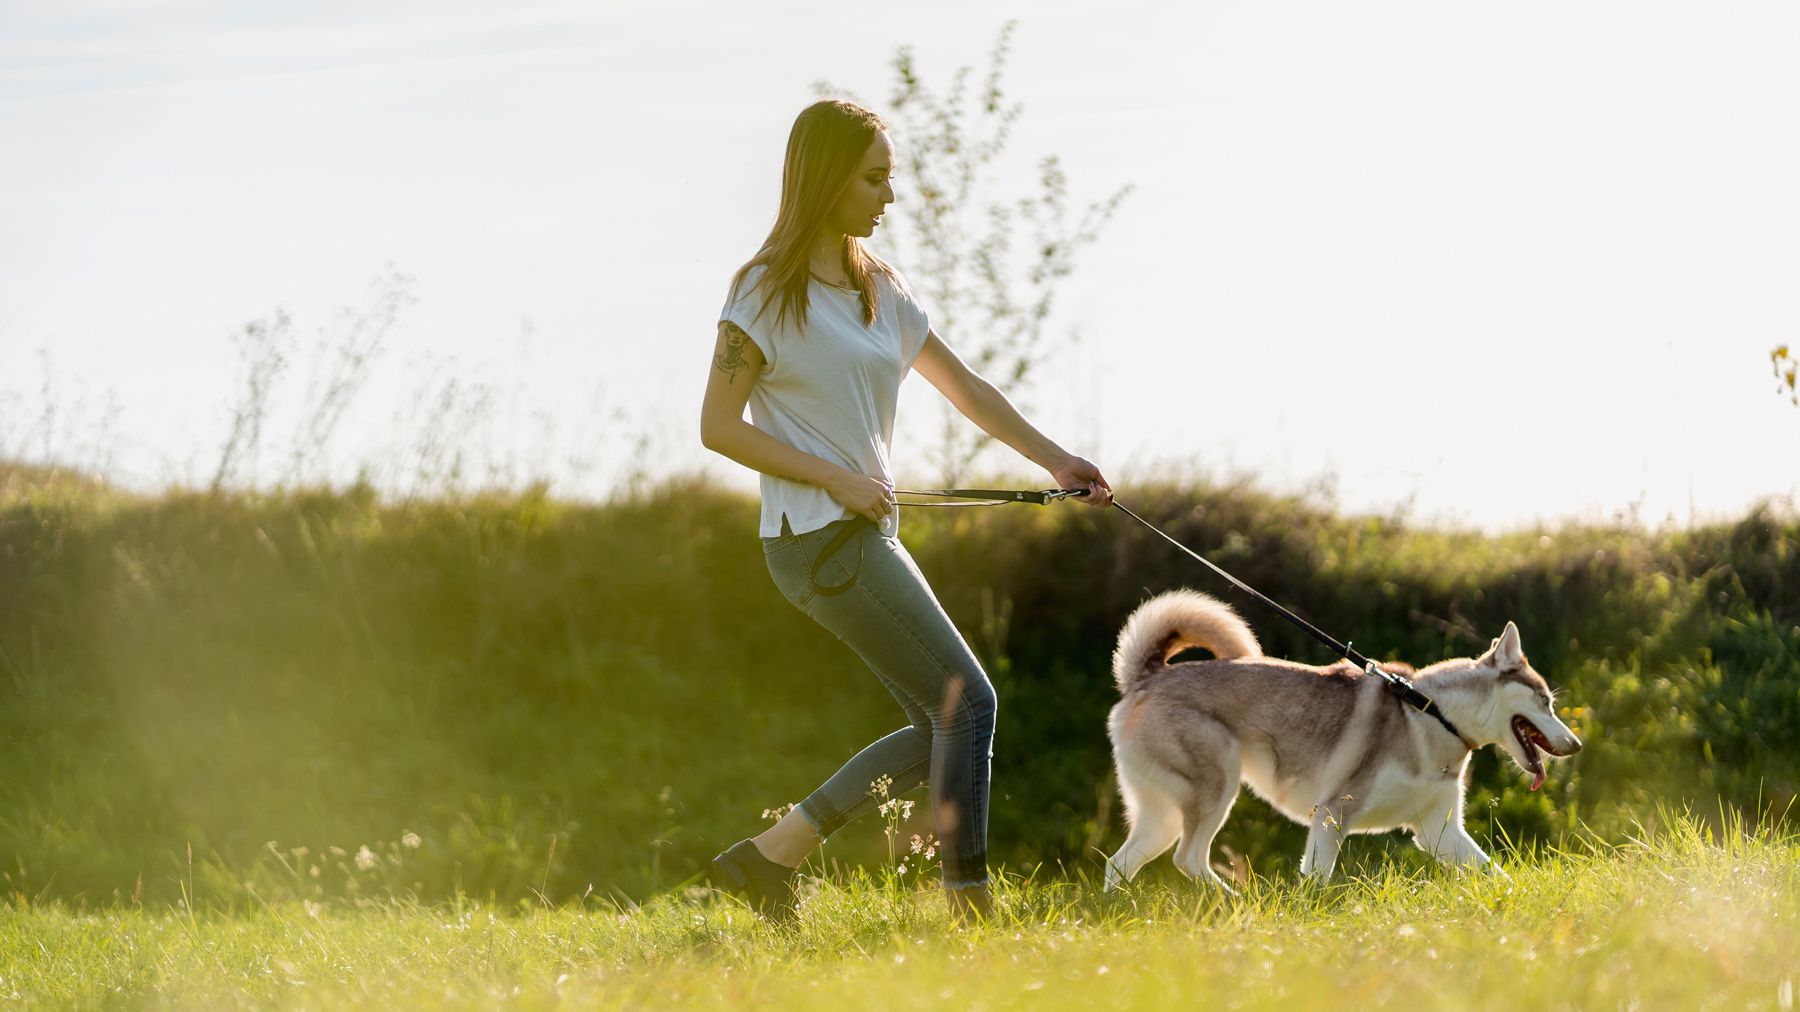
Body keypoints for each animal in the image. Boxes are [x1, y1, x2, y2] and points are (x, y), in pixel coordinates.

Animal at [1101, 587, 1584, 885]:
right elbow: (1317, 881)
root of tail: (1146, 678)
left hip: (1163, 816)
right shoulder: (1333, 814)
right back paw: (1236, 903)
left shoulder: (1439, 831)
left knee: (1118, 865)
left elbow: (1494, 874)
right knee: (1187, 858)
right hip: (1215, 790)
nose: (1576, 745)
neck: (1432, 714)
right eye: (1545, 702)